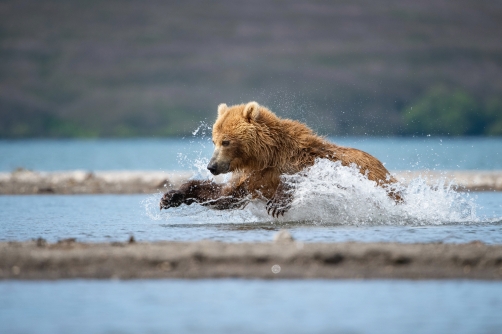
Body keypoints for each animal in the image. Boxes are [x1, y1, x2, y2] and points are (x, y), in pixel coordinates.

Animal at [161, 102, 400, 217]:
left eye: (226, 142)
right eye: (214, 140)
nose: (212, 166)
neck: (266, 156)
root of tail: (385, 169)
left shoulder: (300, 158)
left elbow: (305, 176)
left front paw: (277, 204)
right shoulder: (252, 177)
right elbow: (224, 196)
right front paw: (171, 195)